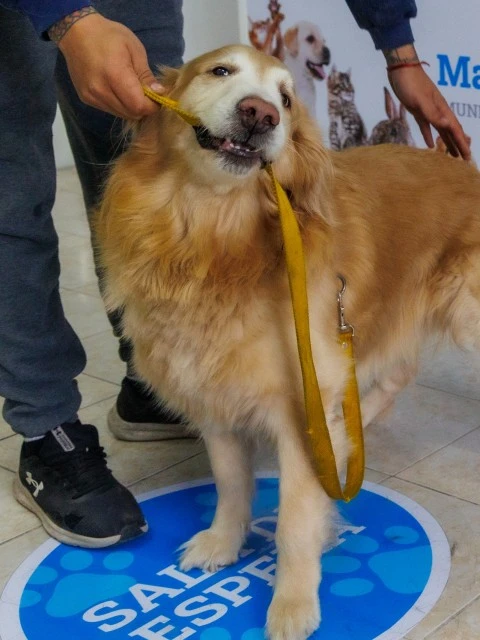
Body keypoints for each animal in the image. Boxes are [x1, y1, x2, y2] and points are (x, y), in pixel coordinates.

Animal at [97, 44, 480, 639]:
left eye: (286, 99)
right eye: (220, 71)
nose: (260, 115)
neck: (212, 243)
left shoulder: (301, 412)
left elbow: (295, 524)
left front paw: (293, 603)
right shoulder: (215, 398)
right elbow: (231, 484)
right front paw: (223, 541)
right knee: (394, 376)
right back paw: (355, 430)